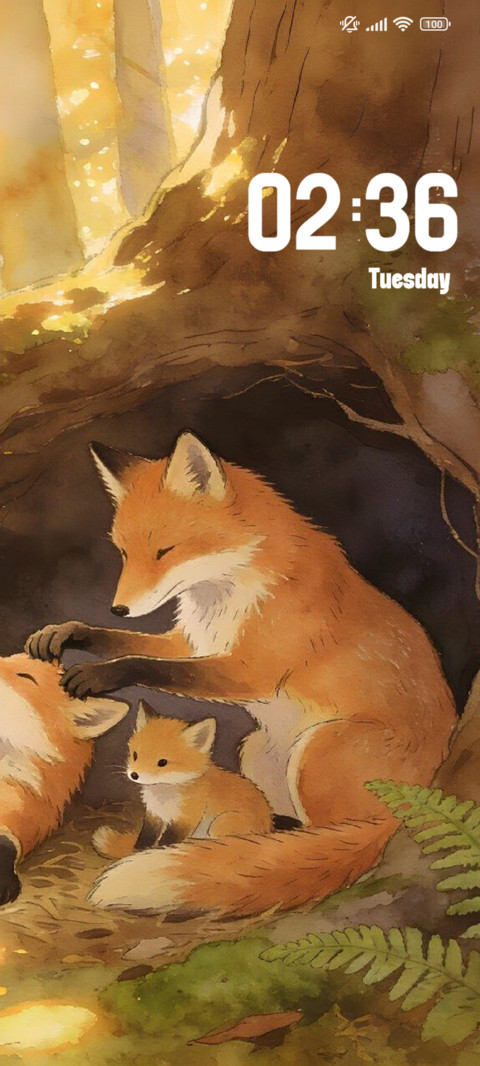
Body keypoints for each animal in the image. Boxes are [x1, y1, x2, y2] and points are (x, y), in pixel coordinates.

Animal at [93, 703, 273, 860]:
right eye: (135, 755)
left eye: (162, 762)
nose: (134, 775)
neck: (163, 796)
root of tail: (269, 827)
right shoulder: (154, 815)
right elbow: (144, 839)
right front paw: (136, 852)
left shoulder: (185, 819)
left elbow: (166, 842)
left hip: (220, 824)